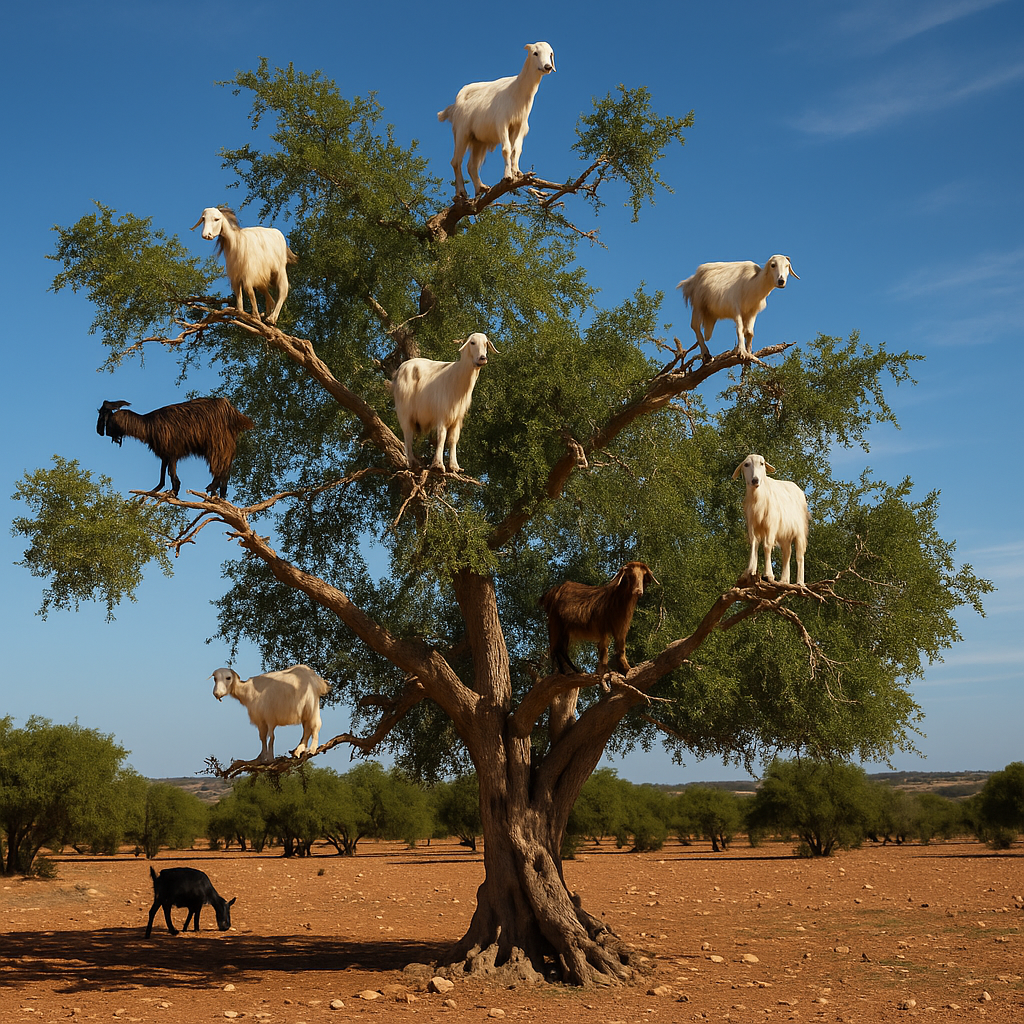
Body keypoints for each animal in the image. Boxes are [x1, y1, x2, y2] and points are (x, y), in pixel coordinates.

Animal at [96, 397, 253, 498]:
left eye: (103, 414)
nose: (101, 432)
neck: (148, 425)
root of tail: (232, 412)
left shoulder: (171, 451)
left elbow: (171, 473)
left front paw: (173, 491)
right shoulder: (166, 453)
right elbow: (162, 475)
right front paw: (160, 491)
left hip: (217, 444)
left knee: (221, 467)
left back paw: (213, 488)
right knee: (226, 469)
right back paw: (220, 494)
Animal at [388, 332, 497, 473]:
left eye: (485, 343)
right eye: (472, 342)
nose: (482, 358)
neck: (457, 378)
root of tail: (399, 370)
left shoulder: (457, 418)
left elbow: (453, 439)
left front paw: (454, 466)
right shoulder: (442, 415)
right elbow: (441, 437)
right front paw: (438, 465)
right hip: (404, 411)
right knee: (407, 435)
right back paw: (412, 462)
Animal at [438, 42, 556, 197]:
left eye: (550, 53)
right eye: (535, 53)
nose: (547, 67)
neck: (517, 91)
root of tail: (454, 107)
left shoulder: (519, 127)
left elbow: (516, 150)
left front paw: (517, 173)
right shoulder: (502, 124)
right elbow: (506, 149)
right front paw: (508, 176)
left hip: (478, 141)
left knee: (471, 165)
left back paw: (481, 187)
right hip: (462, 133)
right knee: (456, 162)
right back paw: (461, 193)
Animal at [732, 453, 809, 585]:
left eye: (762, 463)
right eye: (746, 464)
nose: (755, 480)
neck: (758, 499)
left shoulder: (771, 525)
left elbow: (767, 546)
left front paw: (768, 574)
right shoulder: (752, 525)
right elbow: (754, 544)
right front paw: (750, 571)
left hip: (799, 531)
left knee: (799, 556)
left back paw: (800, 582)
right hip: (785, 535)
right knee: (786, 554)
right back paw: (784, 580)